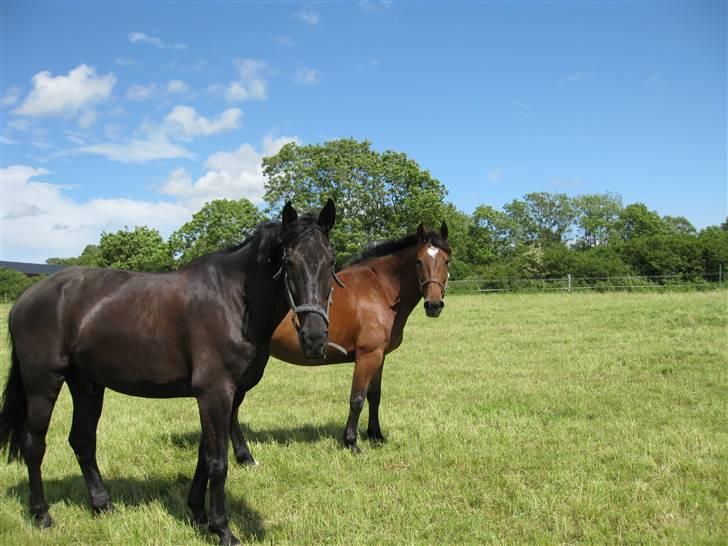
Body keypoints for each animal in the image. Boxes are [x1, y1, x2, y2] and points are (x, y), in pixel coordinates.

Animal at [0, 201, 338, 544]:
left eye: (330, 262)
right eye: (289, 262)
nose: (314, 338)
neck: (232, 300)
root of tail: (24, 299)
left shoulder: (222, 396)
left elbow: (205, 456)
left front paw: (199, 512)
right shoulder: (215, 393)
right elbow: (218, 461)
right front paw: (223, 529)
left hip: (86, 384)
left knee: (82, 440)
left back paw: (103, 505)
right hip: (43, 384)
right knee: (34, 444)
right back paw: (42, 515)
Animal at [232, 219, 450, 456]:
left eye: (446, 261)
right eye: (419, 262)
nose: (434, 305)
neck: (378, 290)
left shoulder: (379, 356)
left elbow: (374, 396)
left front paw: (376, 435)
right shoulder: (367, 356)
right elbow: (357, 399)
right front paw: (351, 442)